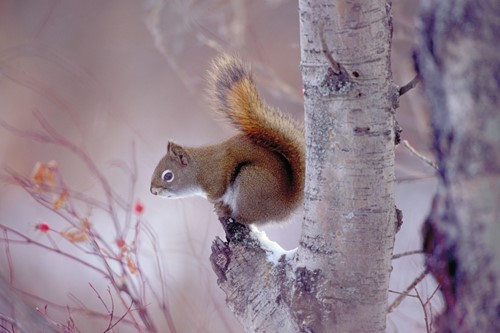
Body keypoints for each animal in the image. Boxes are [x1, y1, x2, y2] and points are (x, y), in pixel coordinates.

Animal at [148, 54, 304, 224]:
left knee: (245, 217)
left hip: (250, 184)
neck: (198, 168)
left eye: (168, 176)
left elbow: (218, 190)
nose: (153, 191)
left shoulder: (216, 176)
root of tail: (283, 207)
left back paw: (227, 211)